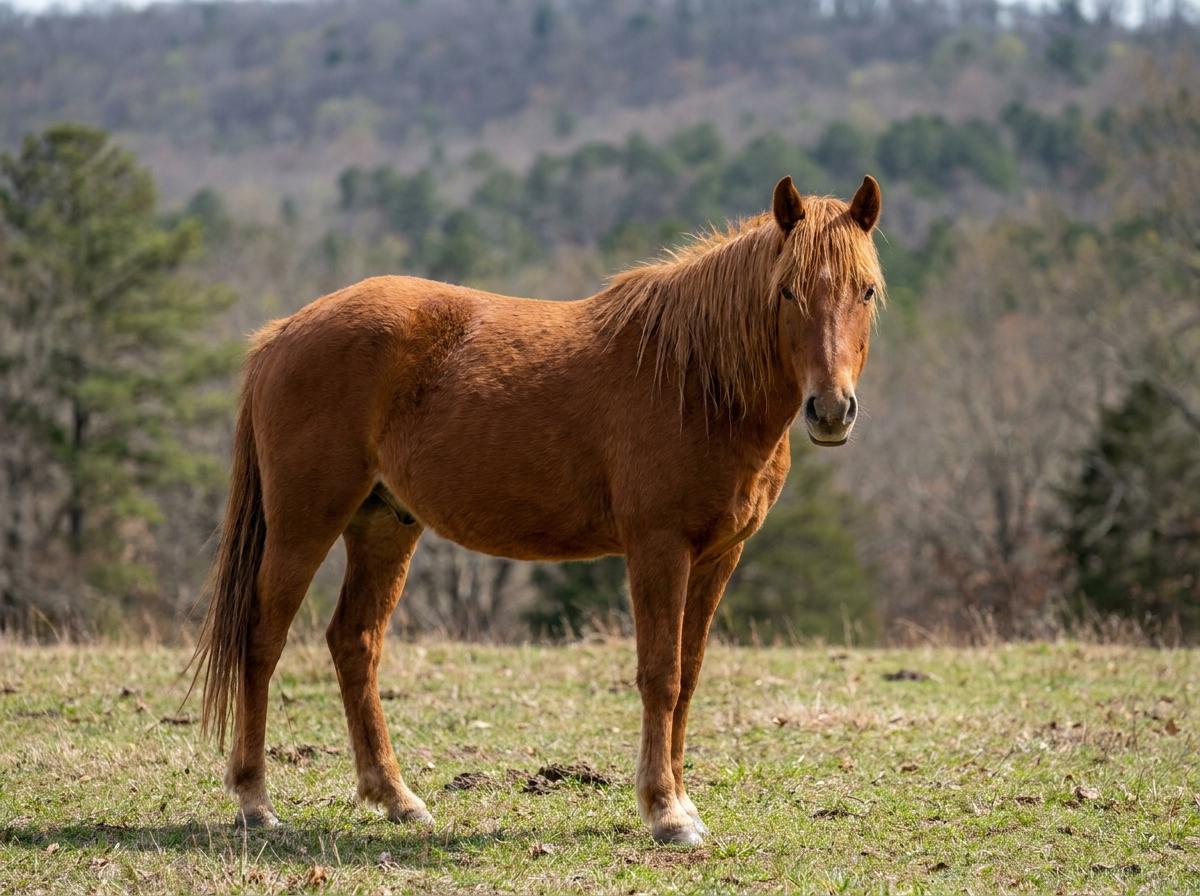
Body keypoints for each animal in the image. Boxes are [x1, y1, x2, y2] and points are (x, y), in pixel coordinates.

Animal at [189, 174, 885, 845]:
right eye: (788, 292)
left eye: (868, 291)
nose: (831, 410)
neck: (693, 378)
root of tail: (282, 333)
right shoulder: (658, 548)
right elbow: (659, 674)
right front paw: (665, 813)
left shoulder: (719, 555)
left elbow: (687, 675)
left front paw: (682, 801)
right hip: (304, 525)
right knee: (262, 637)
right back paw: (255, 801)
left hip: (384, 524)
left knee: (354, 641)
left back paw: (397, 799)